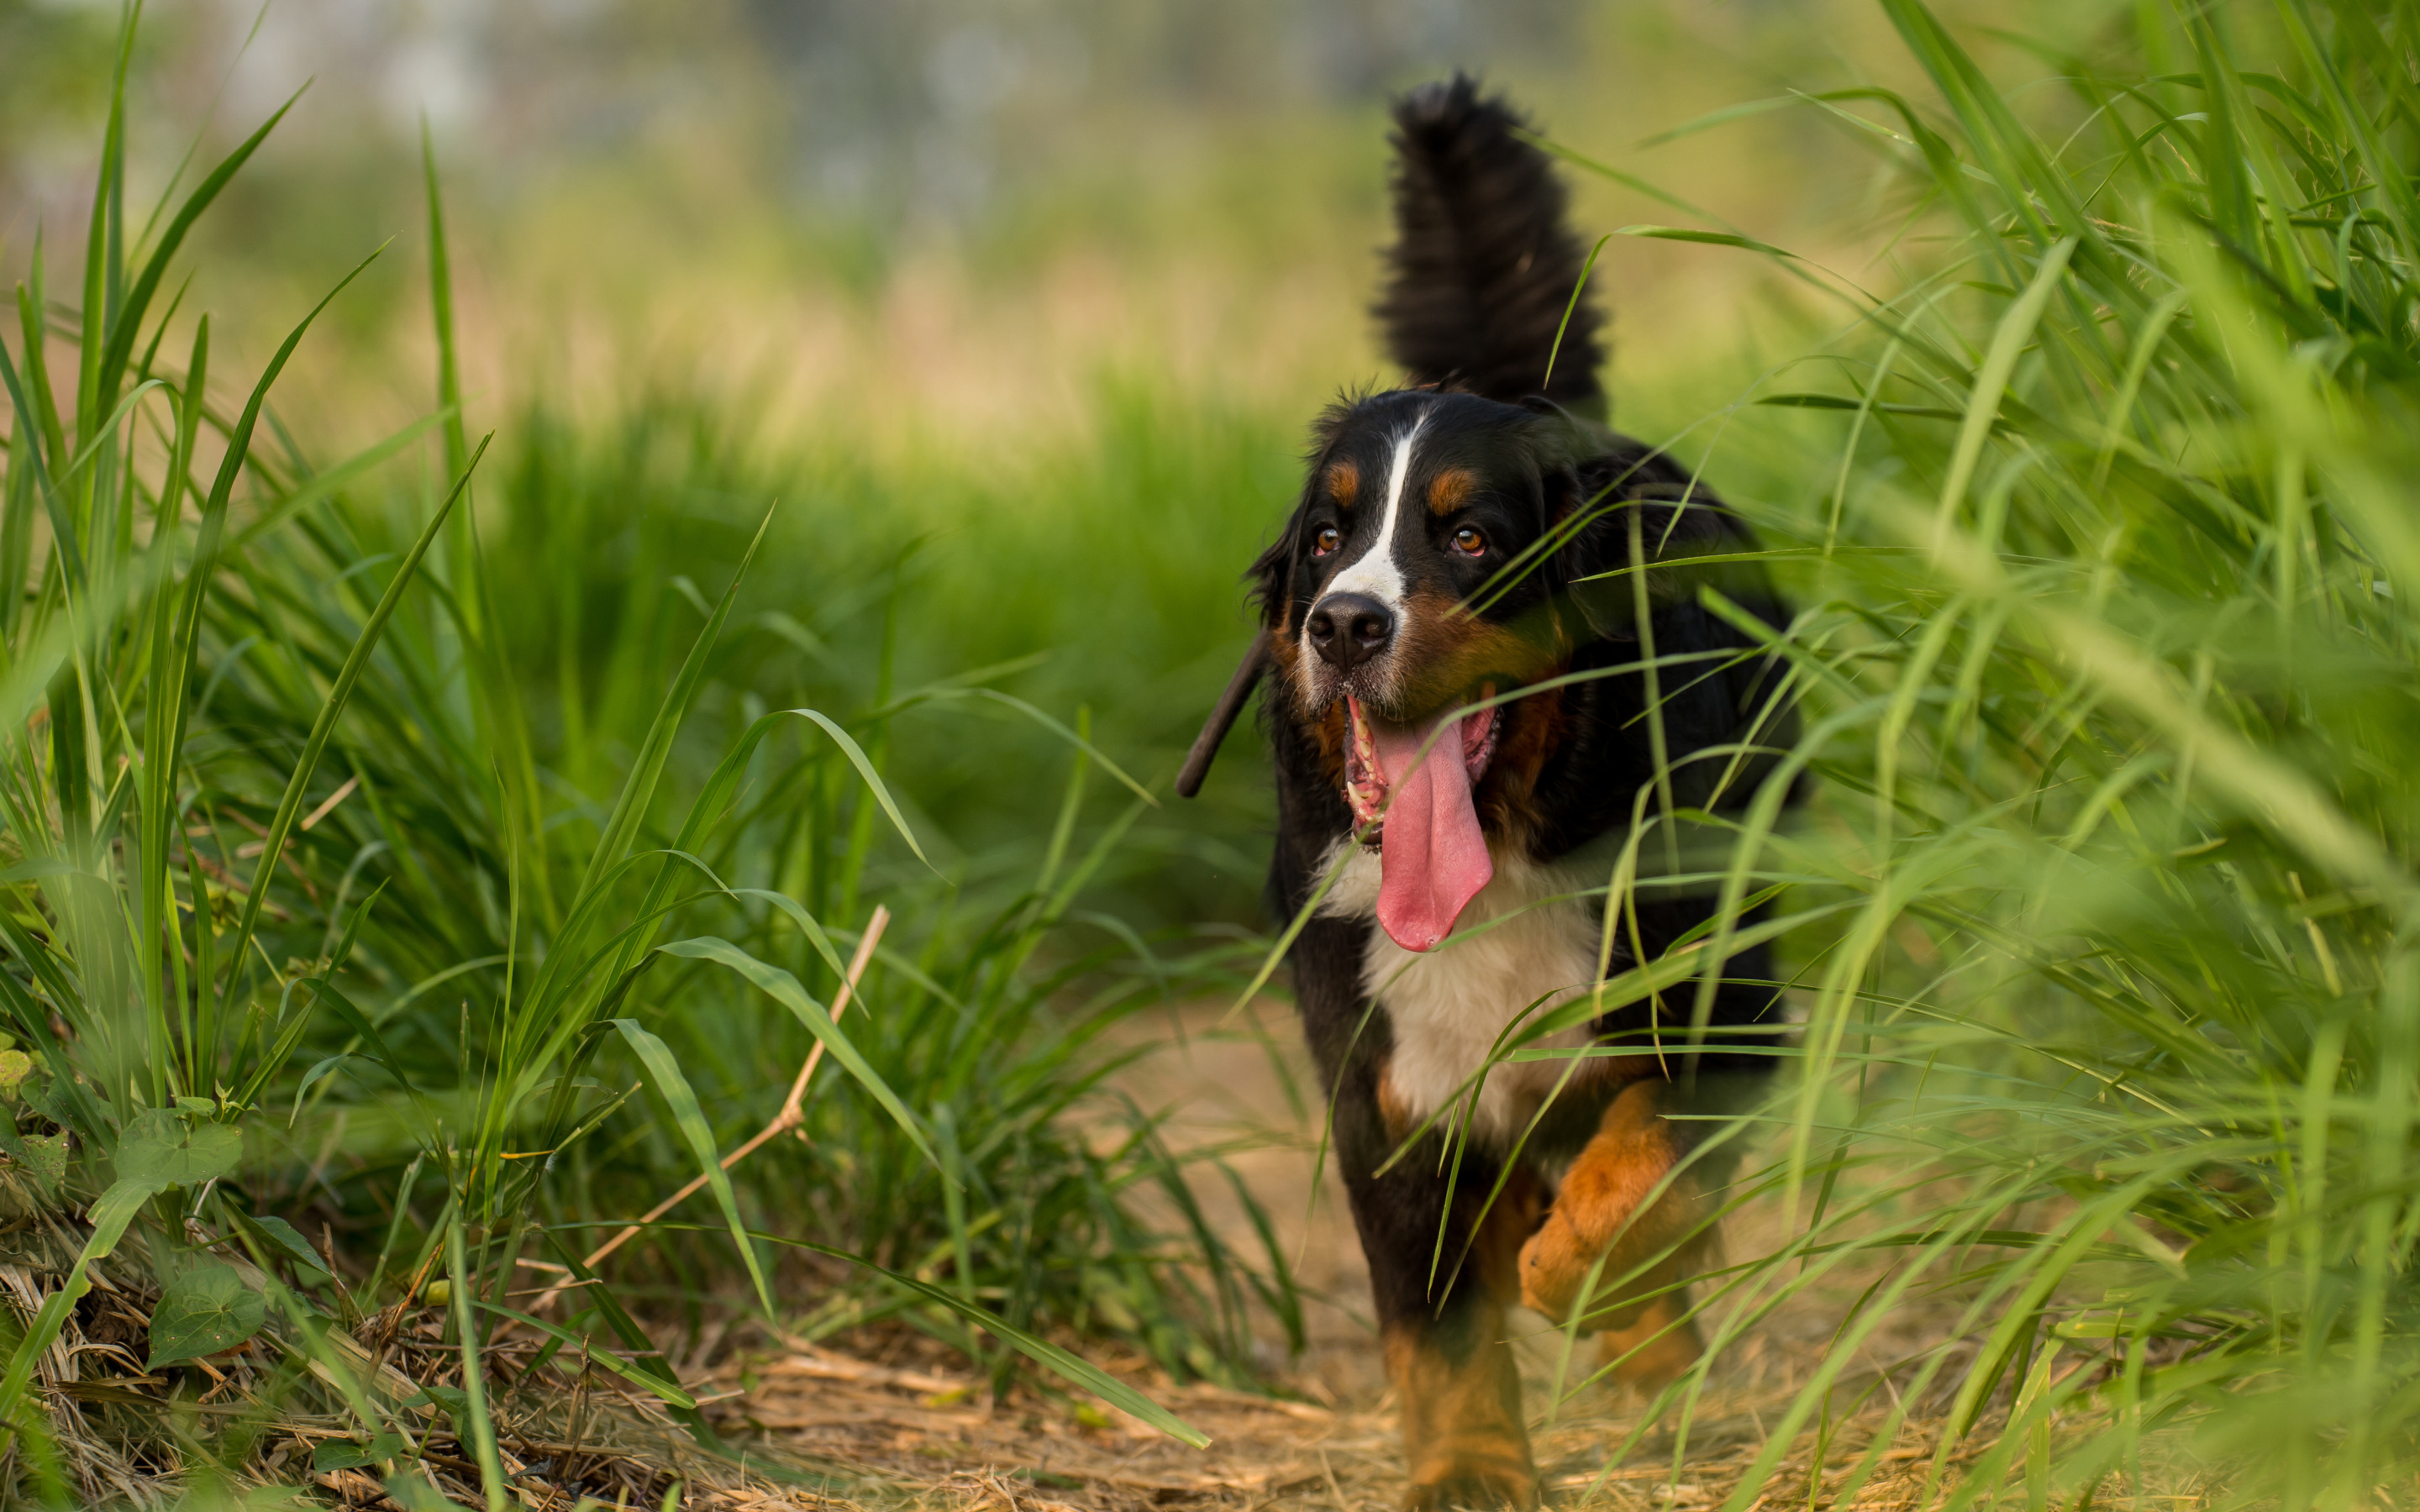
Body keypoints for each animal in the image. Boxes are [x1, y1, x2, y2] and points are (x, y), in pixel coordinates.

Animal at [1176, 73, 1800, 1509]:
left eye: (1468, 537)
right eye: (1329, 537)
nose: (1346, 624)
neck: (1509, 852)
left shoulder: (1729, 1013)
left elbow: (1643, 1174)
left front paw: (1597, 1293)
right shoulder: (1383, 1085)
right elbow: (1436, 1314)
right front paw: (1469, 1465)